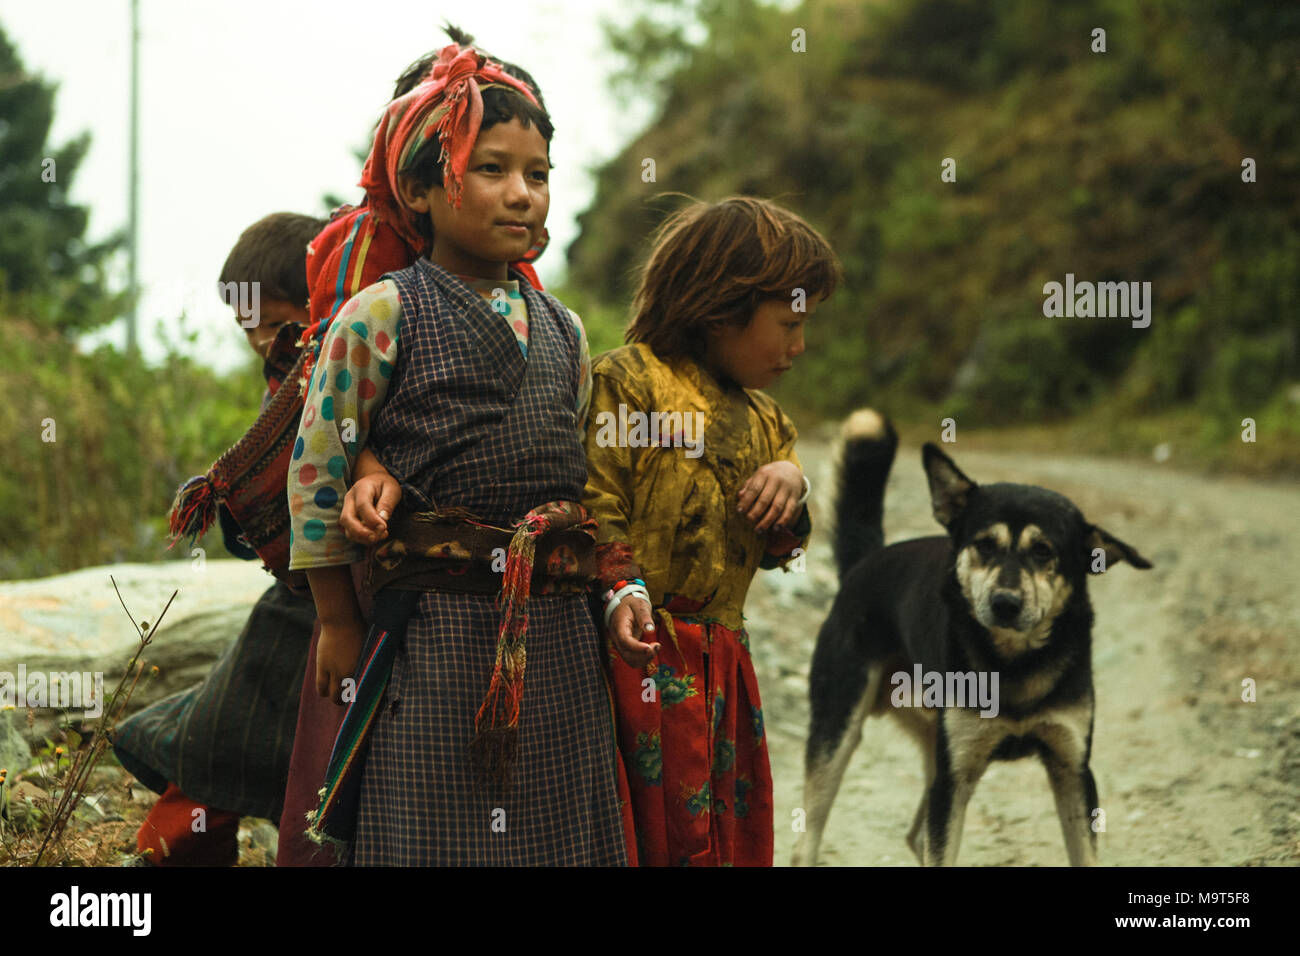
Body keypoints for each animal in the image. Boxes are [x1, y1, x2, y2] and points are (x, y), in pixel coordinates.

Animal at [790, 411, 1149, 868]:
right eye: (984, 545)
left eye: (1044, 551)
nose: (1004, 604)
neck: (1014, 663)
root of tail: (864, 562)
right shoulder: (956, 775)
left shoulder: (1072, 769)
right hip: (838, 731)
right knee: (807, 843)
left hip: (932, 750)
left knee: (916, 837)